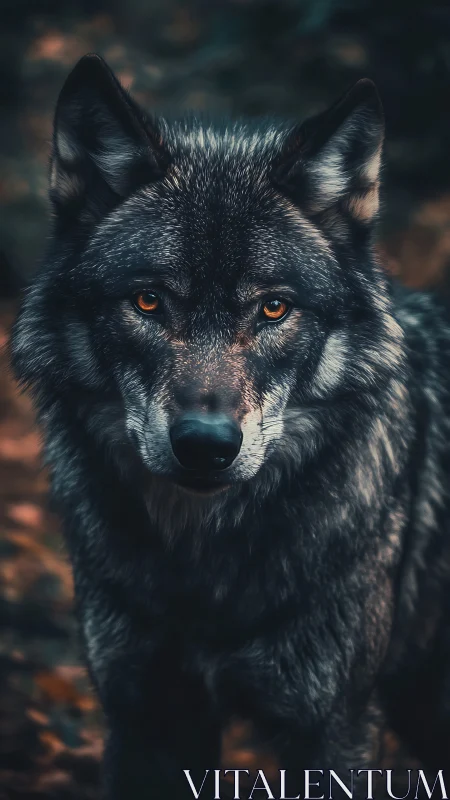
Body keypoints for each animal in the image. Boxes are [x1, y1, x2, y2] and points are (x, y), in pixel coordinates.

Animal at [11, 53, 450, 798]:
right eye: (148, 301)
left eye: (274, 309)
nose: (205, 446)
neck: (203, 567)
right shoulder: (146, 716)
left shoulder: (334, 728)